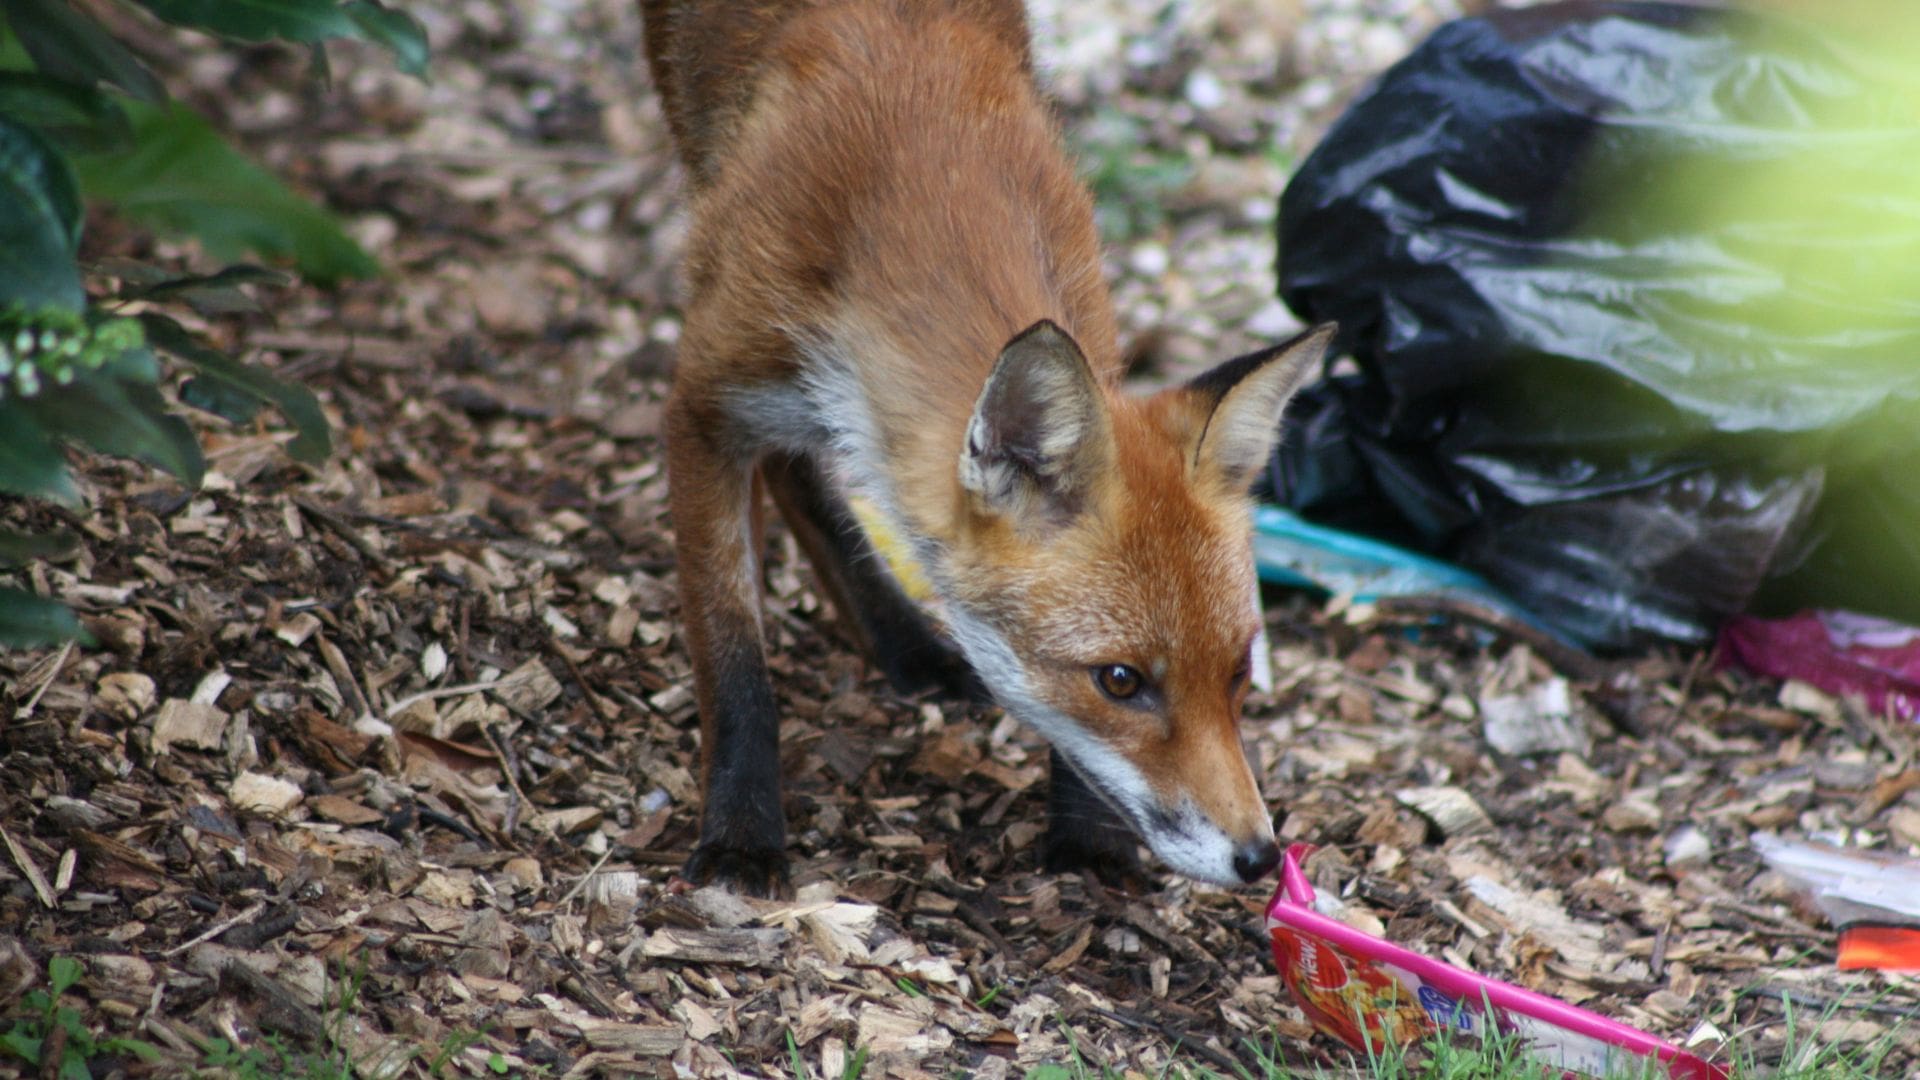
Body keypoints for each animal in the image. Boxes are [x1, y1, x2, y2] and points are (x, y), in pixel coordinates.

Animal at [640, 0, 1334, 896]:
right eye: (1121, 681)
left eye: (1240, 672)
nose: (1260, 859)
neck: (921, 170)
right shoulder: (704, 404)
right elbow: (731, 653)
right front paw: (742, 834)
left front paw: (1086, 836)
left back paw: (904, 643)